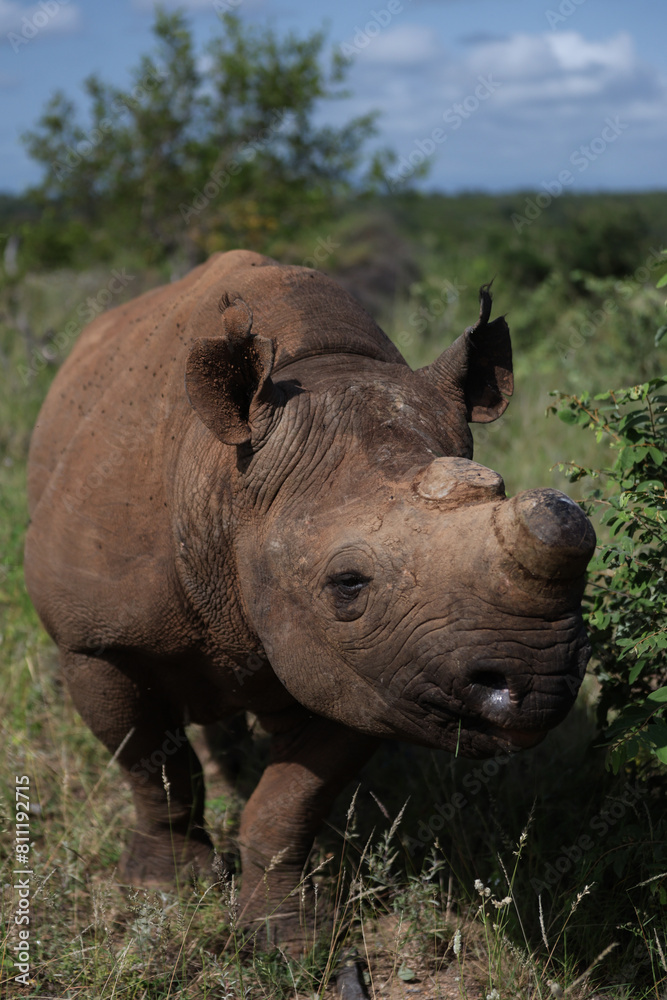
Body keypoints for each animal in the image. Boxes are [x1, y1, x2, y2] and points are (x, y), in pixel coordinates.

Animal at [25, 250, 594, 948]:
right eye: (347, 584)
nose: (536, 681)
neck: (229, 483)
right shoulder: (96, 640)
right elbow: (149, 767)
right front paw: (164, 887)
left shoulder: (366, 671)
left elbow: (289, 801)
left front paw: (287, 938)